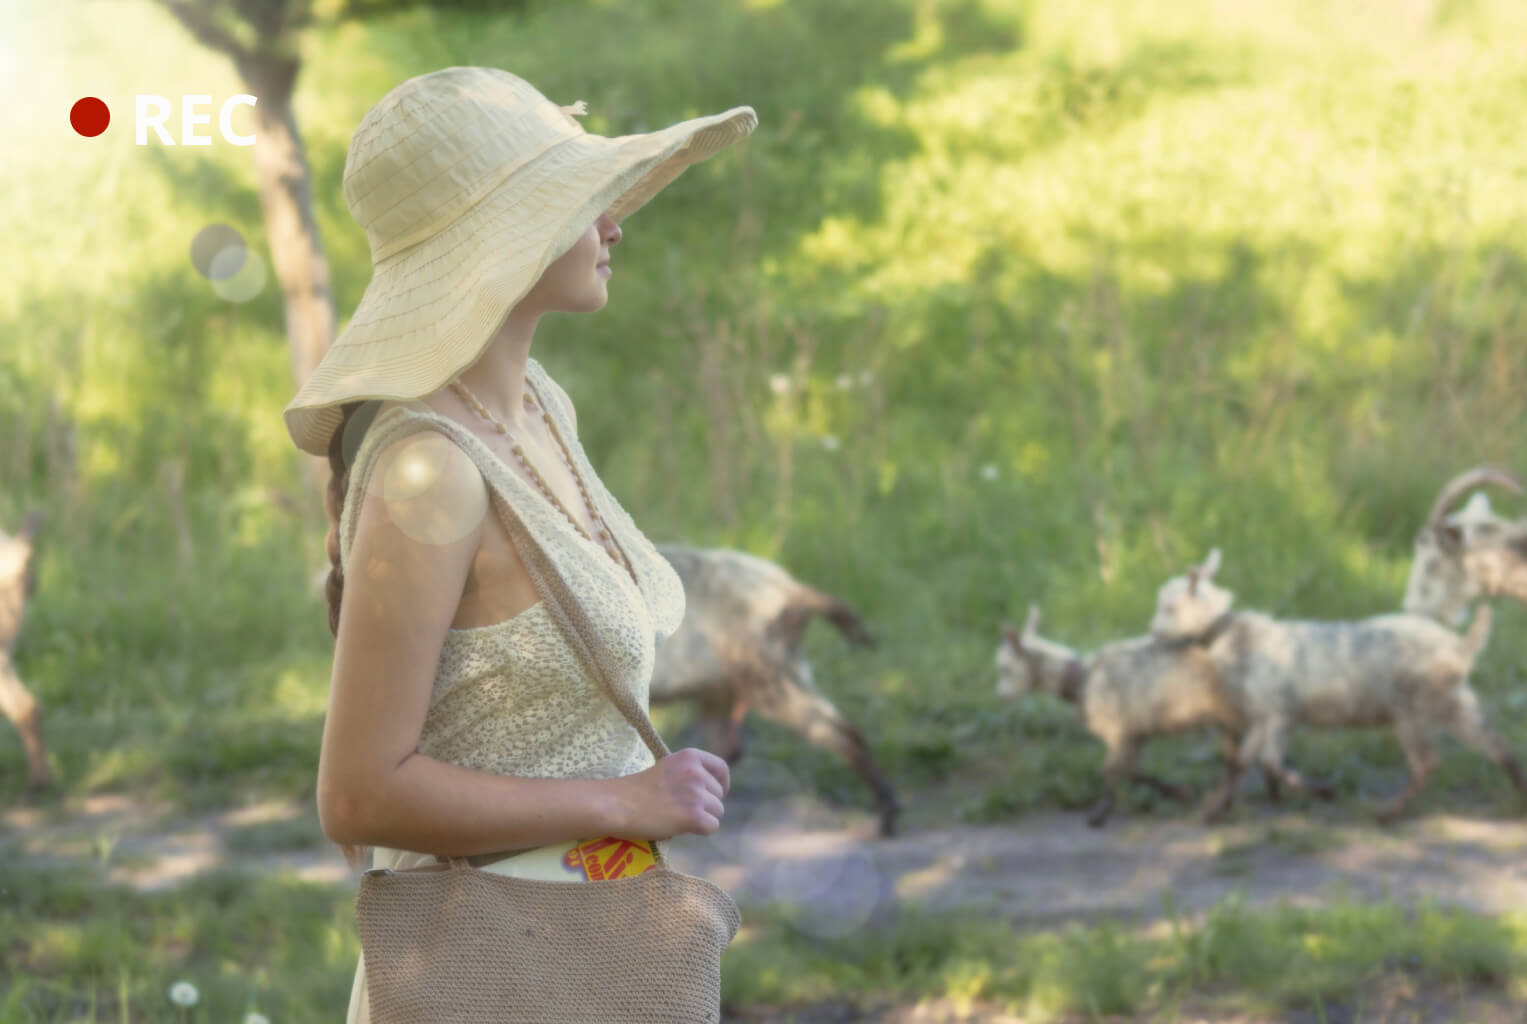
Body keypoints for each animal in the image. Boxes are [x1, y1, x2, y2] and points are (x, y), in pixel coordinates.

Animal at [1148, 549, 1520, 824]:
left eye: (1169, 607)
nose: (1151, 632)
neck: (1238, 637)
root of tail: (1462, 647)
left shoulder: (1279, 710)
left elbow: (1270, 762)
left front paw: (1321, 791)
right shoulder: (1261, 716)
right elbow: (1241, 762)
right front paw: (1215, 808)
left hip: (1412, 706)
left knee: (1428, 761)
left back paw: (1388, 813)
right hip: (1454, 699)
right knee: (1496, 744)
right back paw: (1518, 794)